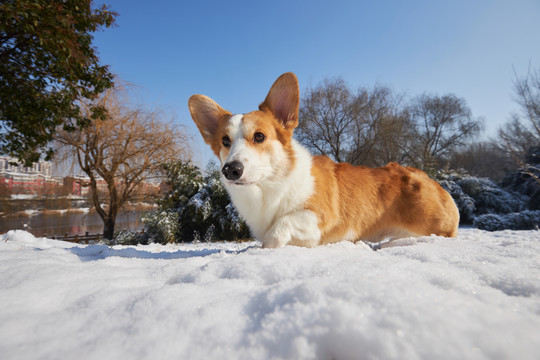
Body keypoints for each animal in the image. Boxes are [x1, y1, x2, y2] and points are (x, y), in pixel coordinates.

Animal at [188, 72, 458, 248]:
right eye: (225, 141)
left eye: (259, 136)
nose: (231, 170)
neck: (270, 187)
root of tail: (430, 180)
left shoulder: (320, 217)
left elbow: (282, 225)